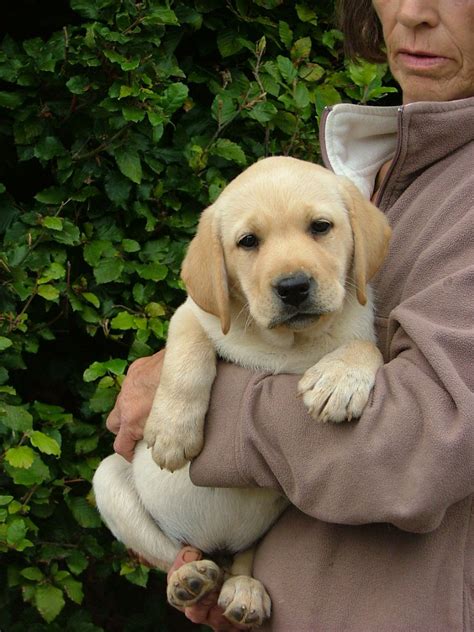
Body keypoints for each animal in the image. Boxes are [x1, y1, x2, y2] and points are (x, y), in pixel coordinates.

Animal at [92, 157, 388, 628]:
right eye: (248, 242)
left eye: (321, 227)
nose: (293, 287)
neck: (288, 344)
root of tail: (217, 547)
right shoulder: (192, 314)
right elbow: (188, 356)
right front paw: (173, 432)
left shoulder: (360, 323)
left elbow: (366, 347)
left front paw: (338, 380)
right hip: (110, 483)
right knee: (175, 554)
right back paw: (189, 579)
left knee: (241, 560)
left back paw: (242, 591)